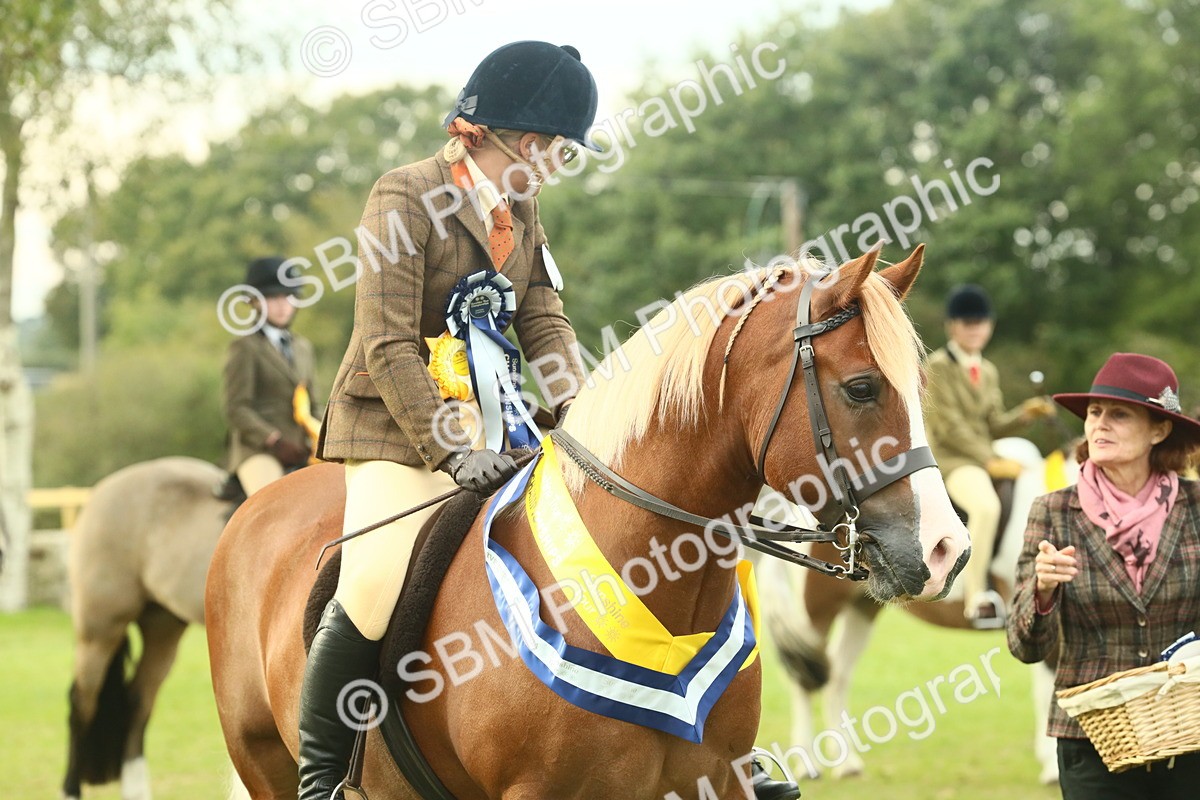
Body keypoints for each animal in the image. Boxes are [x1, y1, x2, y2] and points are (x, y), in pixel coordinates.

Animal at [62, 455, 231, 800]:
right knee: (82, 702)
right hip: (99, 633)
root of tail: (104, 489)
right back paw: (70, 790)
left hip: (163, 632)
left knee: (137, 701)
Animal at [759, 436, 1079, 785]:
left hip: (861, 609)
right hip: (817, 610)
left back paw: (847, 763)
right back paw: (807, 765)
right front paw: (1052, 768)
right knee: (805, 679)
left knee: (837, 673)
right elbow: (1049, 691)